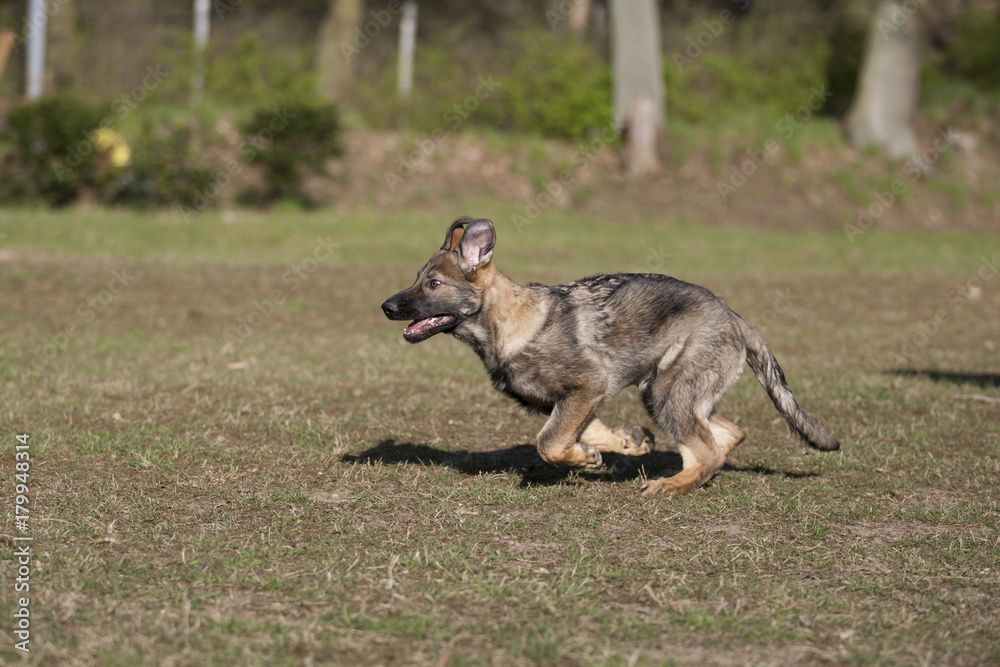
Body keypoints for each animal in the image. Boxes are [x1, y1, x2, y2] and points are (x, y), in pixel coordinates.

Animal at [380, 217, 836, 494]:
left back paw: (671, 485)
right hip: (676, 391)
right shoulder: (564, 400)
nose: (386, 306)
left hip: (667, 391)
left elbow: (549, 441)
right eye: (418, 278)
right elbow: (584, 432)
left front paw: (584, 457)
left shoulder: (587, 386)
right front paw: (618, 445)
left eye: (433, 283)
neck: (508, 324)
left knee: (706, 448)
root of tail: (737, 318)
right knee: (725, 435)